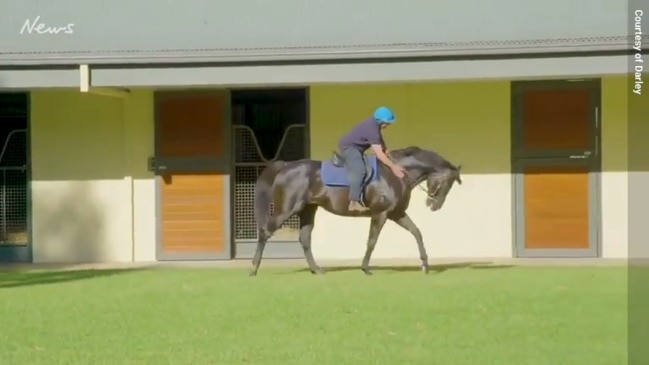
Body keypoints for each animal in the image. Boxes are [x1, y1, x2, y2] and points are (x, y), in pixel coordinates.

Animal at [249, 144, 460, 274]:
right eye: (447, 183)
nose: (434, 205)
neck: (394, 174)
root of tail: (286, 166)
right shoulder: (380, 214)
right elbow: (372, 241)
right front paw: (365, 268)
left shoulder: (396, 214)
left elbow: (416, 232)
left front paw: (425, 264)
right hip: (286, 209)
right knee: (265, 232)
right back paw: (254, 269)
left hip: (308, 210)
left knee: (305, 238)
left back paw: (317, 270)